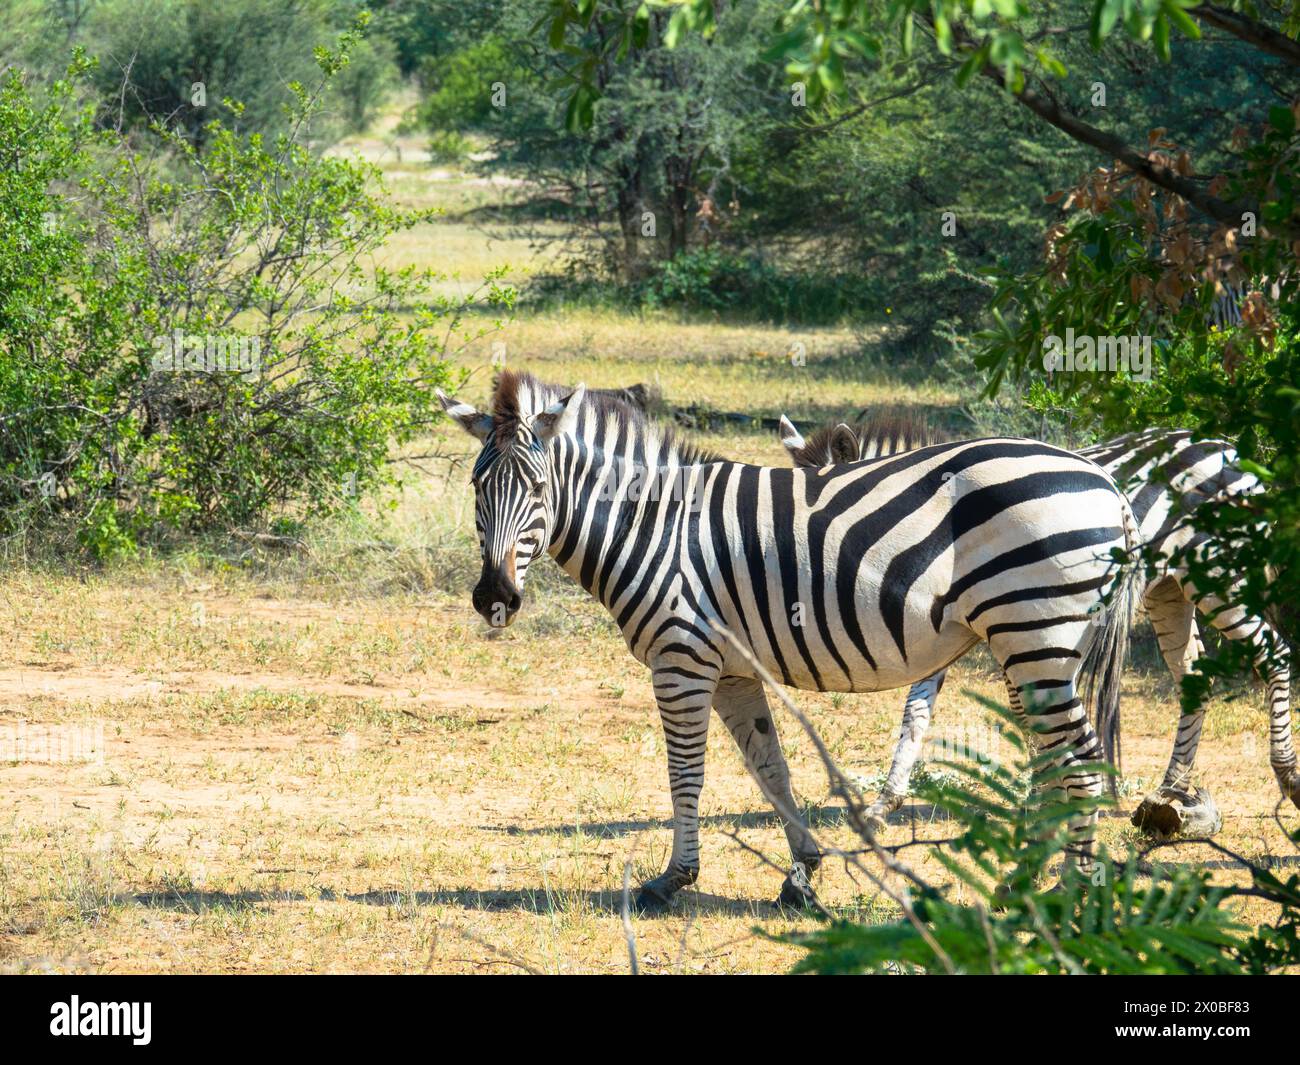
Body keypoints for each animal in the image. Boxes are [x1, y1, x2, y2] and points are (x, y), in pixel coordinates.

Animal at [438, 370, 1140, 910]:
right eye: (476, 488)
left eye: (536, 488)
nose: (494, 597)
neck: (655, 527)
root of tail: (1106, 483)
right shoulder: (732, 669)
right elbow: (770, 768)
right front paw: (803, 875)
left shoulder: (681, 659)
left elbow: (685, 774)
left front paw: (673, 880)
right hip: (1031, 643)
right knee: (1054, 759)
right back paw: (1026, 885)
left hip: (1033, 635)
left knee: (1079, 759)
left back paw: (1071, 894)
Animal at [778, 412, 1296, 837]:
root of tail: (1227, 445)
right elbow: (918, 712)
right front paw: (886, 802)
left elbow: (1022, 713)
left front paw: (1038, 797)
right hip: (1169, 588)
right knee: (1194, 676)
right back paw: (1169, 791)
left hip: (1222, 577)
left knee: (1275, 654)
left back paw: (1286, 775)